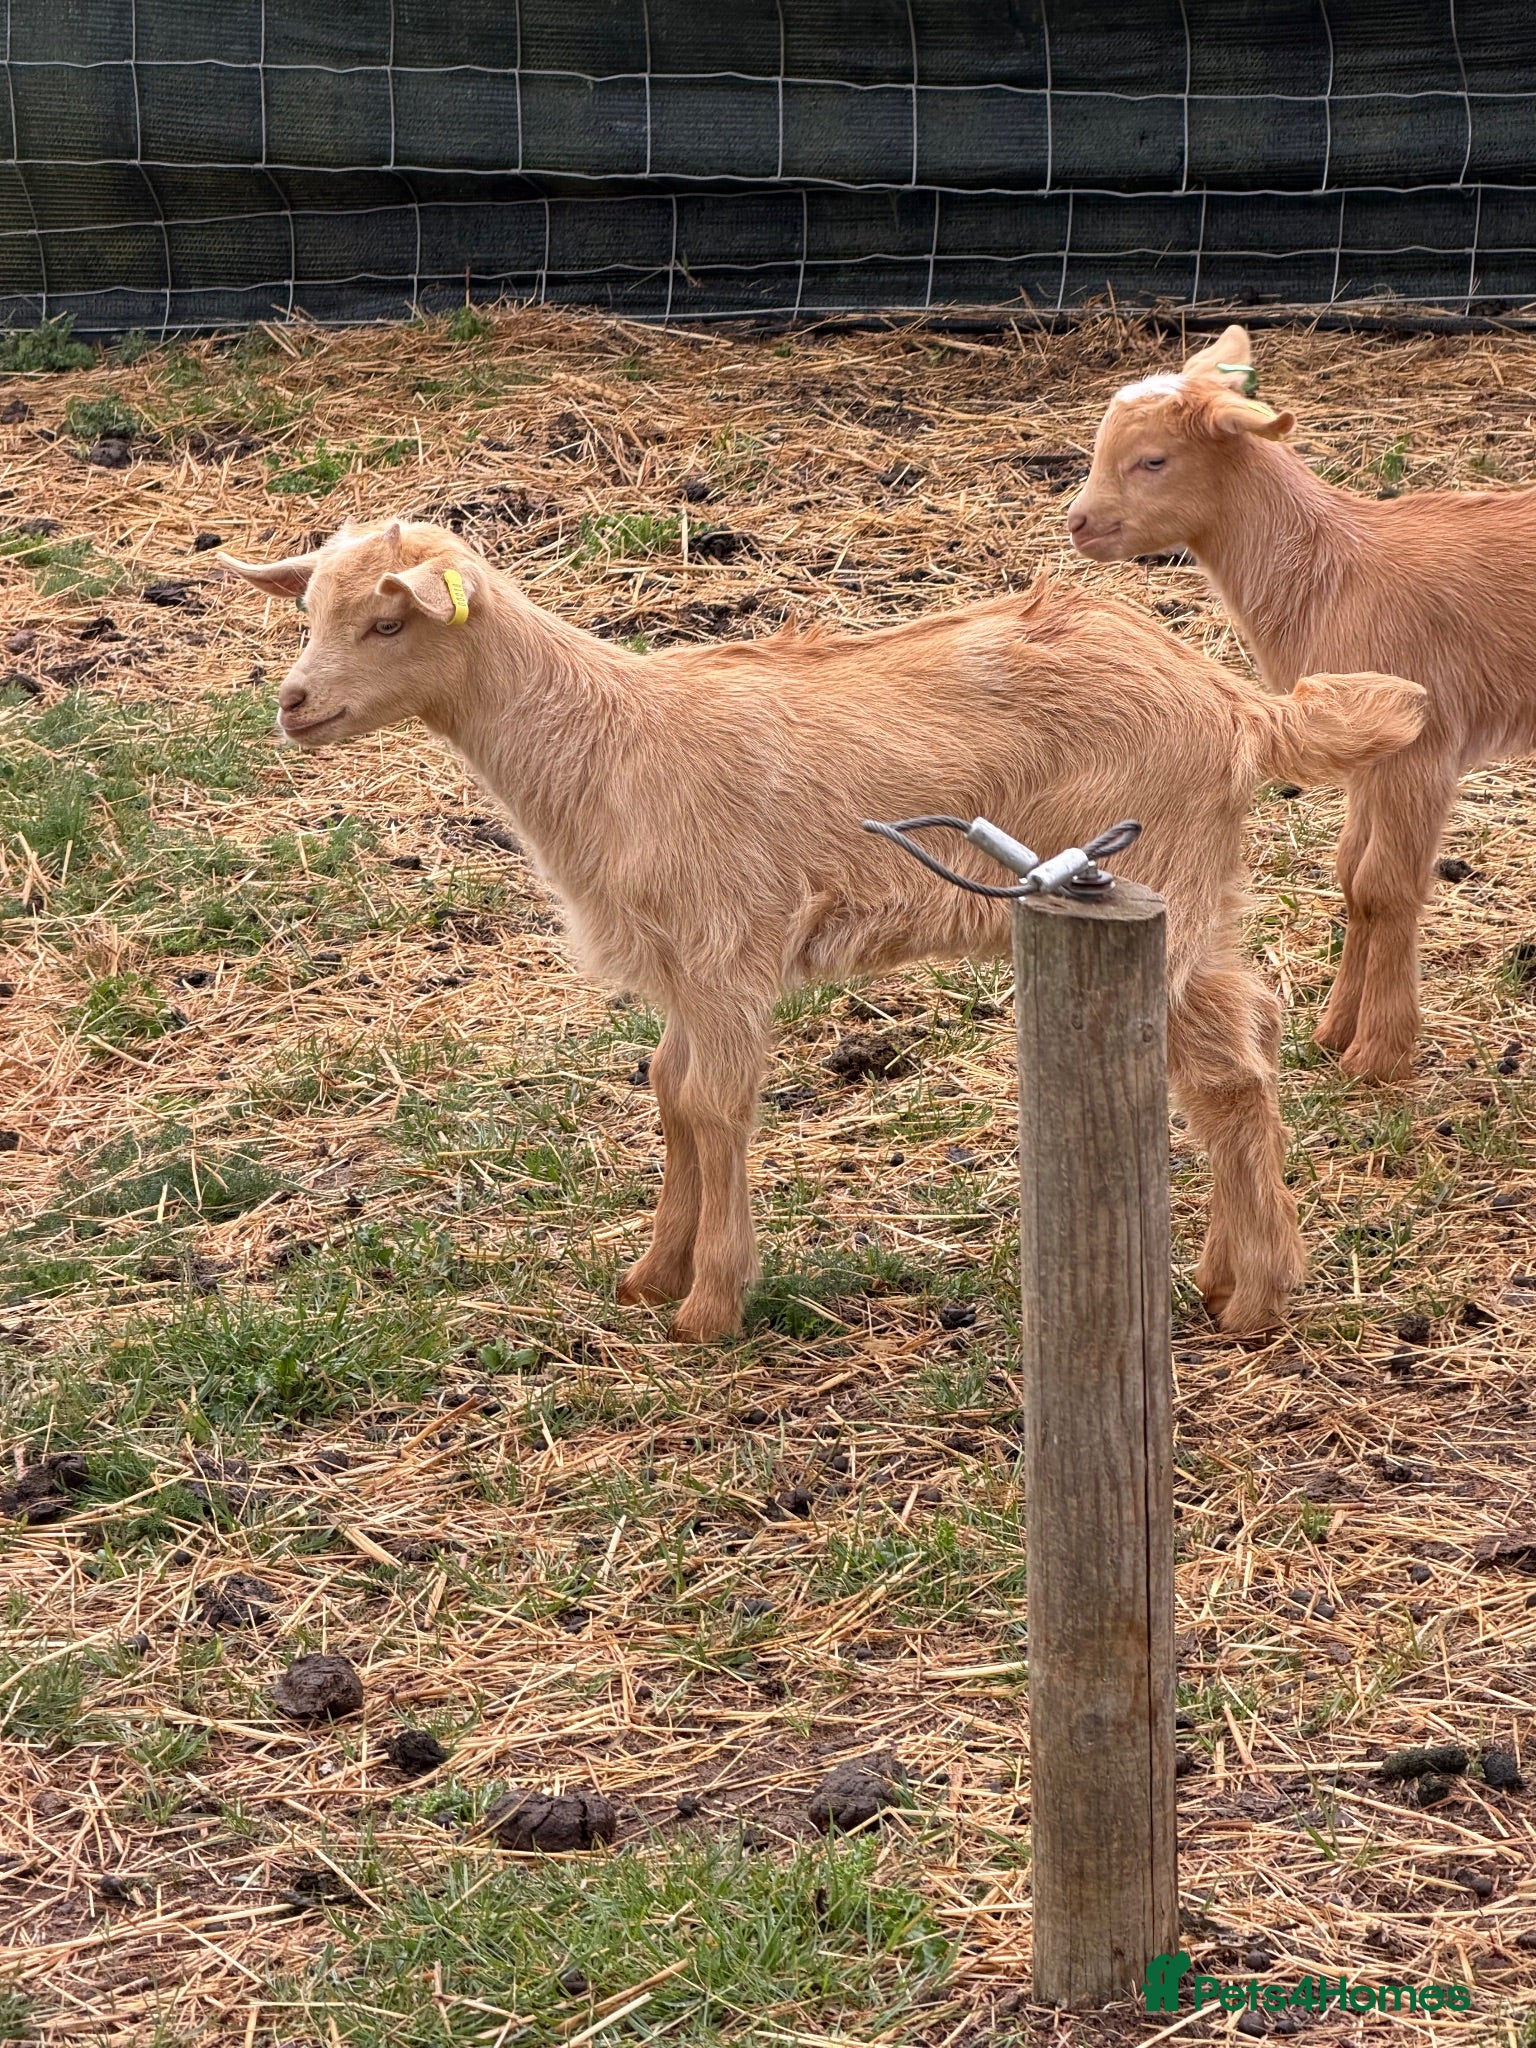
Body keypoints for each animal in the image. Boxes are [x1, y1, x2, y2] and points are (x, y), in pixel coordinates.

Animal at [221, 521, 1424, 1340]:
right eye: (309, 610)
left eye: (388, 621)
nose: (293, 703)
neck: (606, 743)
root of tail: (1238, 705)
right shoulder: (682, 965)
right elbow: (669, 1093)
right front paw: (651, 1275)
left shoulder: (723, 945)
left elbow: (713, 1103)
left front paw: (710, 1302)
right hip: (1182, 898)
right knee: (1241, 1042)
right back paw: (1231, 1273)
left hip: (1155, 875)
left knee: (1222, 1071)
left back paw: (1256, 1297)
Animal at [1067, 323, 1536, 1081]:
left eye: (1153, 460)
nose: (1078, 523)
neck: (1333, 572)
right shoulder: (1370, 740)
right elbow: (1352, 878)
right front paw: (1332, 1033)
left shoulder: (1423, 748)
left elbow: (1386, 885)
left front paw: (1379, 1054)